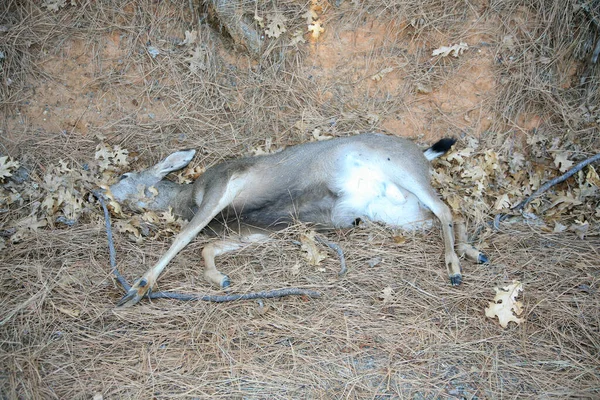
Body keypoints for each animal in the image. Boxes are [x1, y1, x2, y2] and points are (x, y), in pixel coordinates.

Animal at [109, 134, 488, 306]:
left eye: (125, 174)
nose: (103, 192)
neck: (188, 198)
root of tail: (422, 153)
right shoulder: (258, 231)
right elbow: (210, 248)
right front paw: (220, 279)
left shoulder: (221, 185)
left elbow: (184, 238)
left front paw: (138, 287)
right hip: (399, 214)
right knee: (450, 214)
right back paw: (473, 252)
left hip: (402, 170)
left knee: (445, 209)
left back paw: (454, 267)